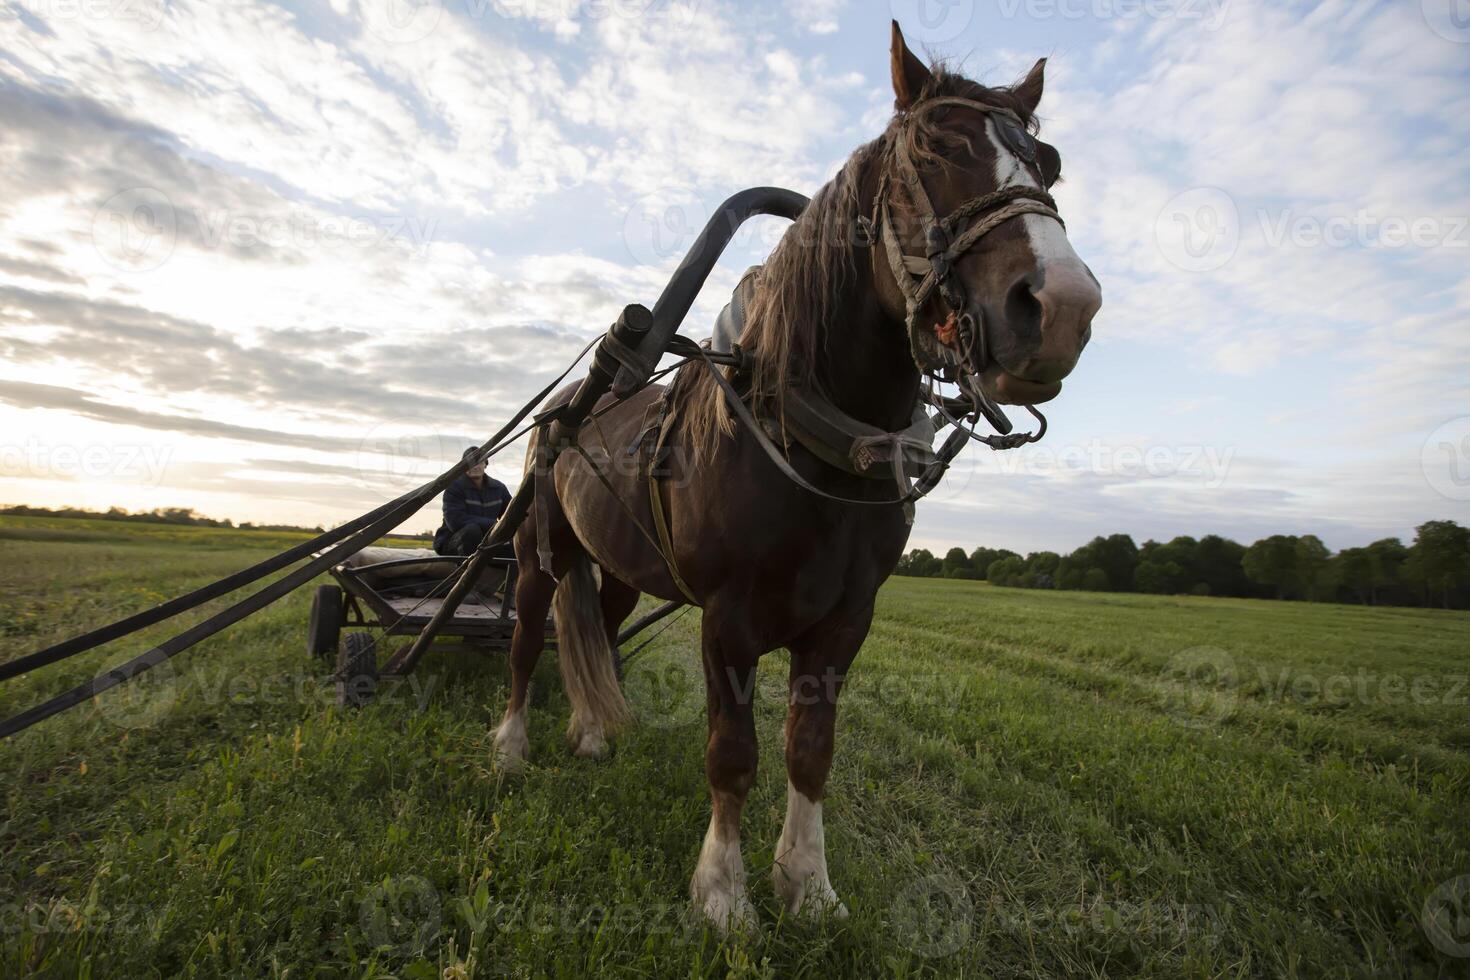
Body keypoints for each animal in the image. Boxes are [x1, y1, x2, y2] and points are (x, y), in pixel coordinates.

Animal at [493, 19, 1105, 934]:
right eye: (934, 147)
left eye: (1051, 163)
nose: (1062, 307)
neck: (812, 437)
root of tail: (571, 405)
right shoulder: (728, 620)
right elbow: (734, 753)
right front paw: (723, 894)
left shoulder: (846, 620)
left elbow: (810, 751)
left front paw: (808, 885)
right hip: (539, 544)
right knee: (531, 634)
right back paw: (510, 747)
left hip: (622, 567)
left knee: (594, 624)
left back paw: (595, 730)